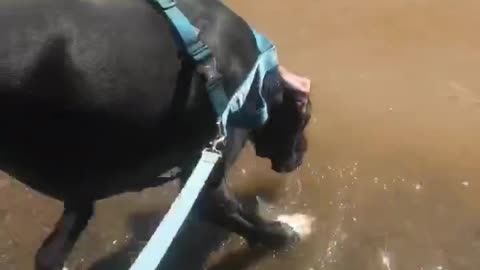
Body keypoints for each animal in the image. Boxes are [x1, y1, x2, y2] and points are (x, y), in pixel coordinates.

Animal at [0, 1, 312, 268]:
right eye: (306, 118)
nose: (302, 153)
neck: (257, 76)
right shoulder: (210, 163)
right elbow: (233, 213)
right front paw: (286, 232)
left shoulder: (81, 190)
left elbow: (50, 252)